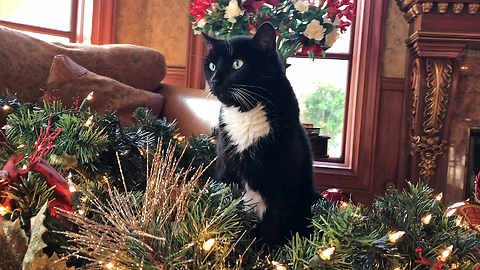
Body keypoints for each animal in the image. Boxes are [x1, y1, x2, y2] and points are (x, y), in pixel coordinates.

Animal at [202, 22, 318, 247]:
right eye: (211, 66)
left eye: (237, 64)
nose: (215, 81)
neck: (246, 111)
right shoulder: (226, 174)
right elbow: (231, 216)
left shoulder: (283, 187)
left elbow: (271, 229)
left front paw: (266, 253)